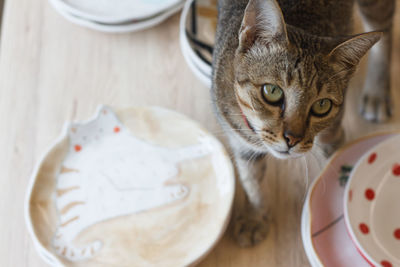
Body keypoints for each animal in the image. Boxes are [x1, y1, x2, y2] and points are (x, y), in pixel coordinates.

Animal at [53, 106, 217, 262]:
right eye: (82, 144)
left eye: (115, 129)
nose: (103, 144)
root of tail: (64, 218)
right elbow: (178, 156)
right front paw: (203, 147)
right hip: (114, 198)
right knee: (145, 199)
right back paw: (176, 189)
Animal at [211, 0, 396, 247]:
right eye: (272, 91)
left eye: (322, 105)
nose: (292, 139)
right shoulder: (240, 142)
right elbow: (252, 180)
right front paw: (255, 217)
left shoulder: (334, 129)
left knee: (385, 30)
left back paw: (377, 92)